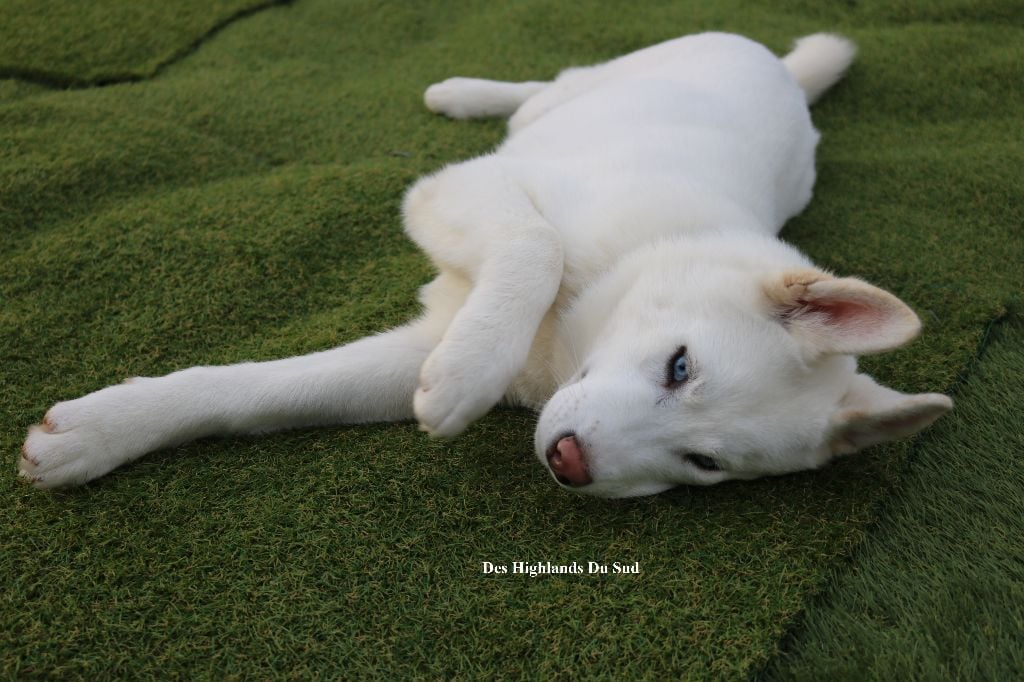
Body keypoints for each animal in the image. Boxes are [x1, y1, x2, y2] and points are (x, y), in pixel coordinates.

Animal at [22, 31, 950, 493]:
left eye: (704, 465)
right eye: (680, 365)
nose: (569, 464)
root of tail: (780, 68)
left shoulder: (413, 349)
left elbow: (264, 394)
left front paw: (97, 435)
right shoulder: (463, 189)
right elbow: (534, 243)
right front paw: (468, 373)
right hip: (583, 90)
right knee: (544, 87)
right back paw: (463, 92)